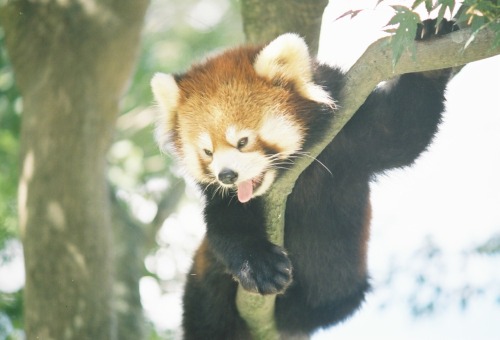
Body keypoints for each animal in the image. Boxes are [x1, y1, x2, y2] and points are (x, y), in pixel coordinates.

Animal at [154, 19, 458, 340]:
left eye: (242, 141)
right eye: (207, 152)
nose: (226, 176)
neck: (293, 177)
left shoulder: (350, 137)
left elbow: (400, 131)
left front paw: (430, 38)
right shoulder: (223, 201)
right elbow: (226, 226)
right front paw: (259, 266)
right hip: (204, 278)